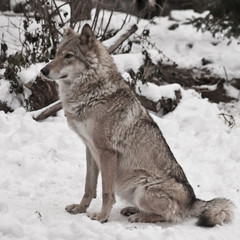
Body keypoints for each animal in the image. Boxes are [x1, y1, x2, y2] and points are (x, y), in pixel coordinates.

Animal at [40, 23, 234, 227]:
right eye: (56, 54)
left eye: (68, 56)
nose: (43, 71)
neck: (92, 93)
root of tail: (193, 200)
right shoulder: (90, 150)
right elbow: (89, 187)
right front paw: (80, 209)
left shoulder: (106, 152)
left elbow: (106, 193)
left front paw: (101, 217)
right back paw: (131, 210)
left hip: (142, 190)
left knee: (172, 216)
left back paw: (139, 216)